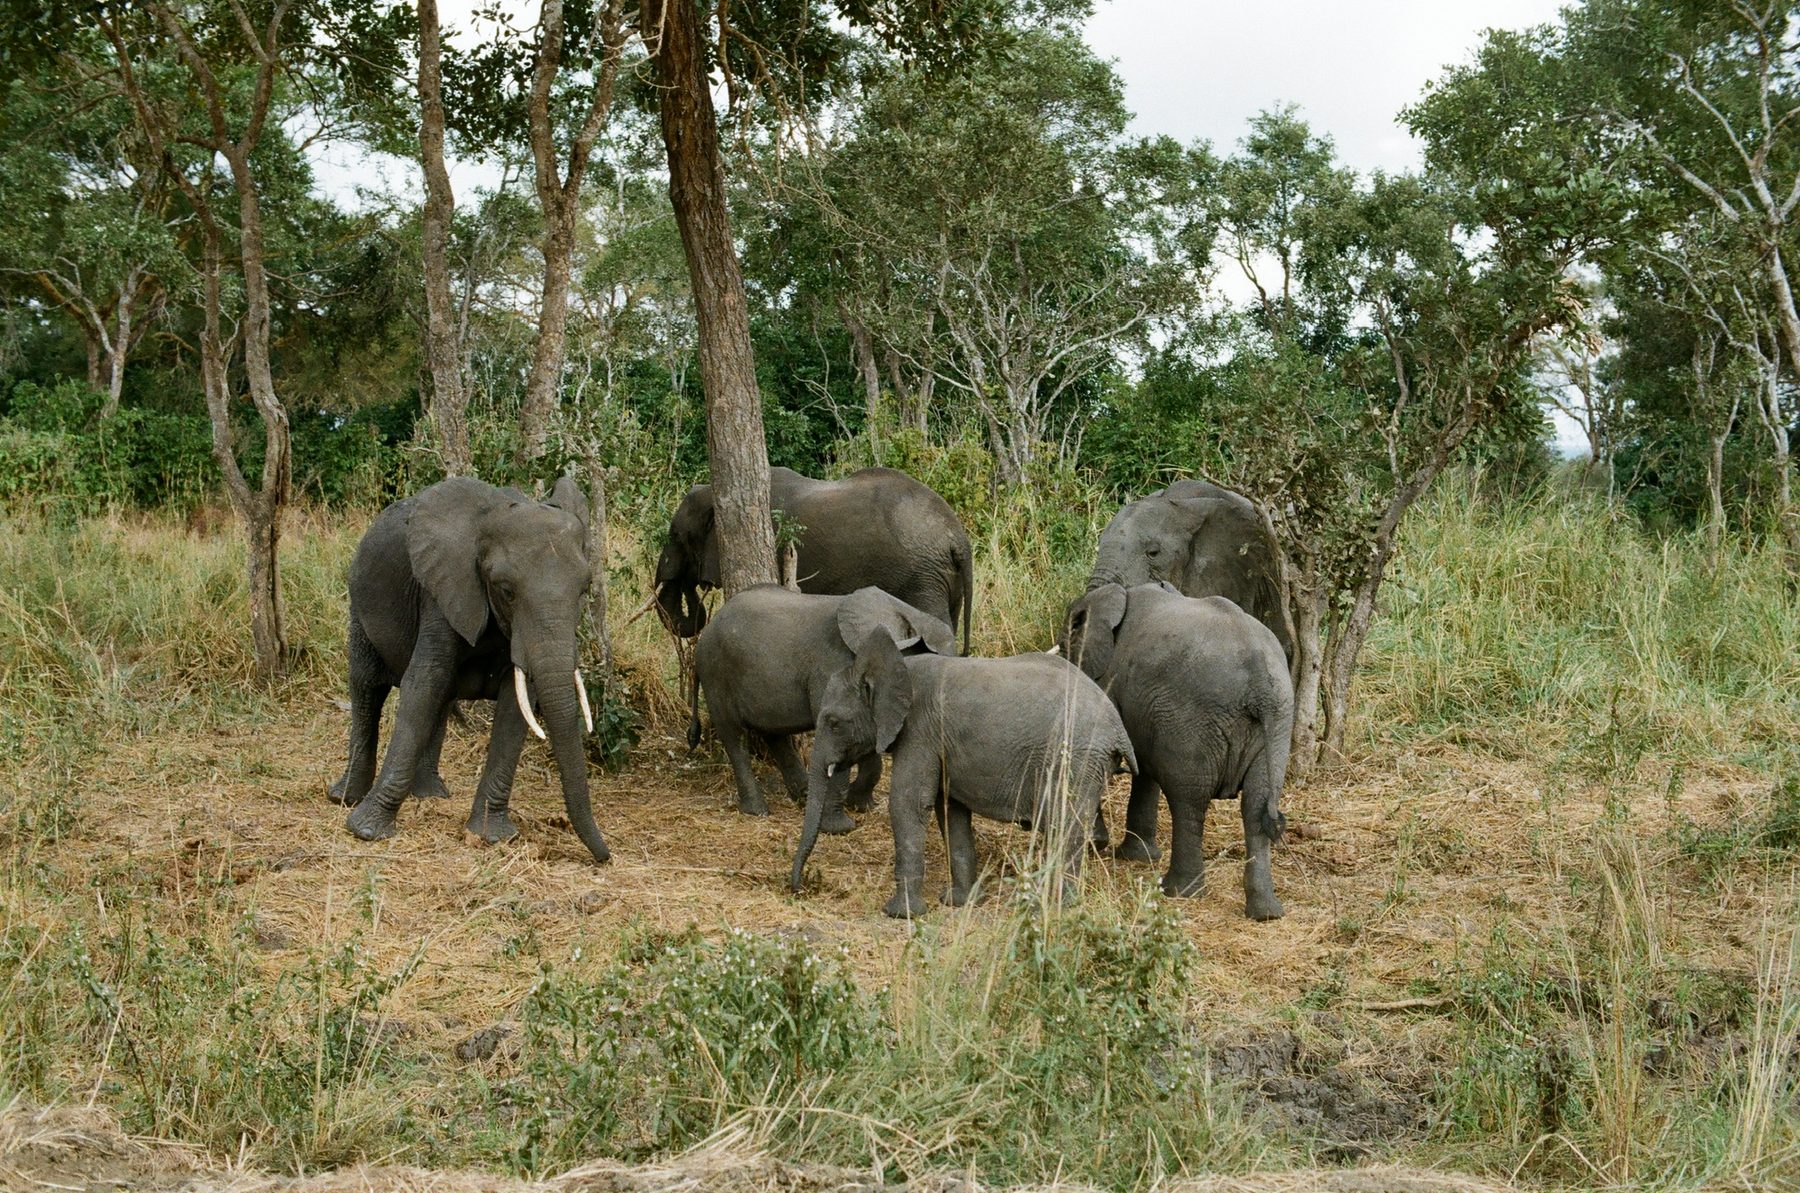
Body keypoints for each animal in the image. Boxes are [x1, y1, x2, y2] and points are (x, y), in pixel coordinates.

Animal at [328, 475, 611, 864]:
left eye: (585, 589)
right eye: (506, 590)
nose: (605, 857)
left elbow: (516, 704)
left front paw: (492, 837)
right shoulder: (442, 591)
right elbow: (423, 684)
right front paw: (367, 831)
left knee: (442, 698)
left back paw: (430, 795)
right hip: (358, 602)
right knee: (368, 687)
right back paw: (345, 798)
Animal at [653, 466, 973, 652]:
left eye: (676, 534)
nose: (692, 585)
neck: (715, 492)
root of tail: (957, 538)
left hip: (921, 576)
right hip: (943, 577)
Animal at [689, 585, 957, 822]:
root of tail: (705, 633)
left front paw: (860, 805)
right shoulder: (834, 669)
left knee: (773, 733)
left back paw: (804, 796)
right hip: (715, 672)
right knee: (733, 735)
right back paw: (758, 811)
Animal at [791, 632, 1136, 918]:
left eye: (833, 723)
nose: (797, 889)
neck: (898, 666)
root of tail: (1117, 727)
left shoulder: (920, 731)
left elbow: (908, 804)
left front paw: (900, 914)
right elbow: (950, 809)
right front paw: (961, 902)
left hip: (1075, 758)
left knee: (1064, 822)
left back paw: (1054, 905)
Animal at [1062, 582, 1291, 920]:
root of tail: (1260, 678)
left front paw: (1099, 844)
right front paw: (1132, 856)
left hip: (1193, 719)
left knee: (1188, 799)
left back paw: (1177, 892)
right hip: (1277, 723)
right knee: (1255, 803)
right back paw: (1266, 913)